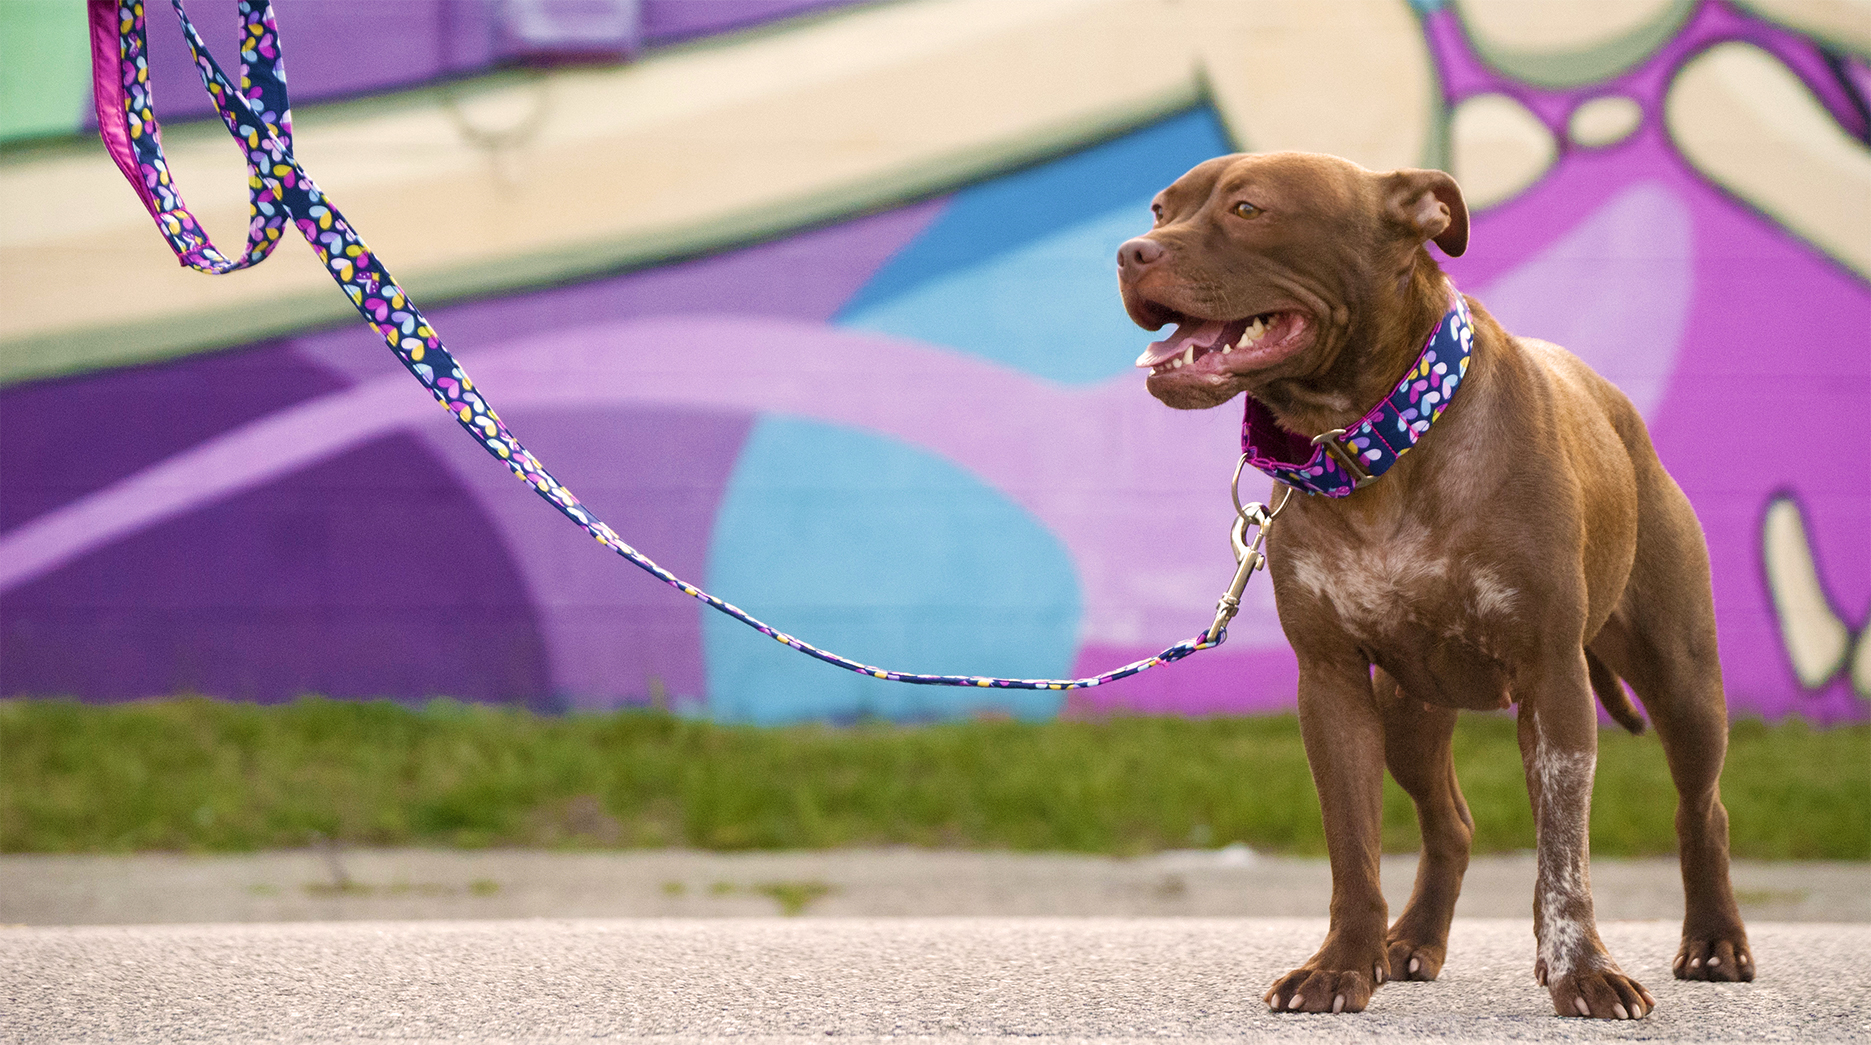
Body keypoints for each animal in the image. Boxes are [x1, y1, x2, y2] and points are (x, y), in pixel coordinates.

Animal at [1122, 155, 1751, 1024]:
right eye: (1160, 208)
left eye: (1248, 209)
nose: (1130, 251)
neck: (1375, 440)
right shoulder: (1332, 685)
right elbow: (1352, 849)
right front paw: (1340, 963)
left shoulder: (1553, 681)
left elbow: (1564, 856)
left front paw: (1582, 969)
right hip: (1408, 713)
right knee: (1449, 820)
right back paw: (1412, 939)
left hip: (1681, 680)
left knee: (1701, 806)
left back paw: (1714, 939)